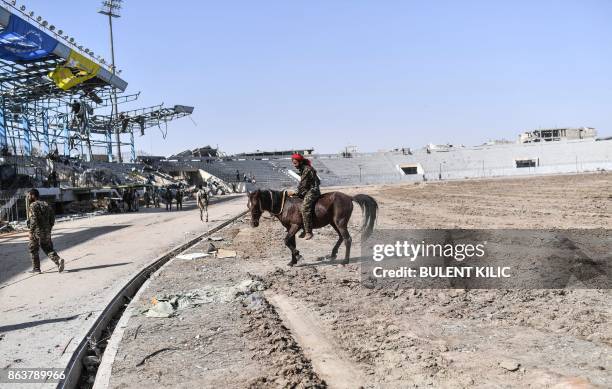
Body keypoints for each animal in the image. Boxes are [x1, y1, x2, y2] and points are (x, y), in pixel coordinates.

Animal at [246, 189, 376, 266]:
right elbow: (291, 242)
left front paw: (298, 255)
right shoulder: (290, 228)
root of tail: (349, 197)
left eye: (255, 205)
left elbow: (287, 241)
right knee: (341, 237)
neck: (285, 205)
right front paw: (292, 261)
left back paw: (345, 261)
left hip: (340, 223)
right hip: (334, 223)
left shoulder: (295, 226)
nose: (253, 223)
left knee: (347, 239)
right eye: (248, 205)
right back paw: (333, 254)